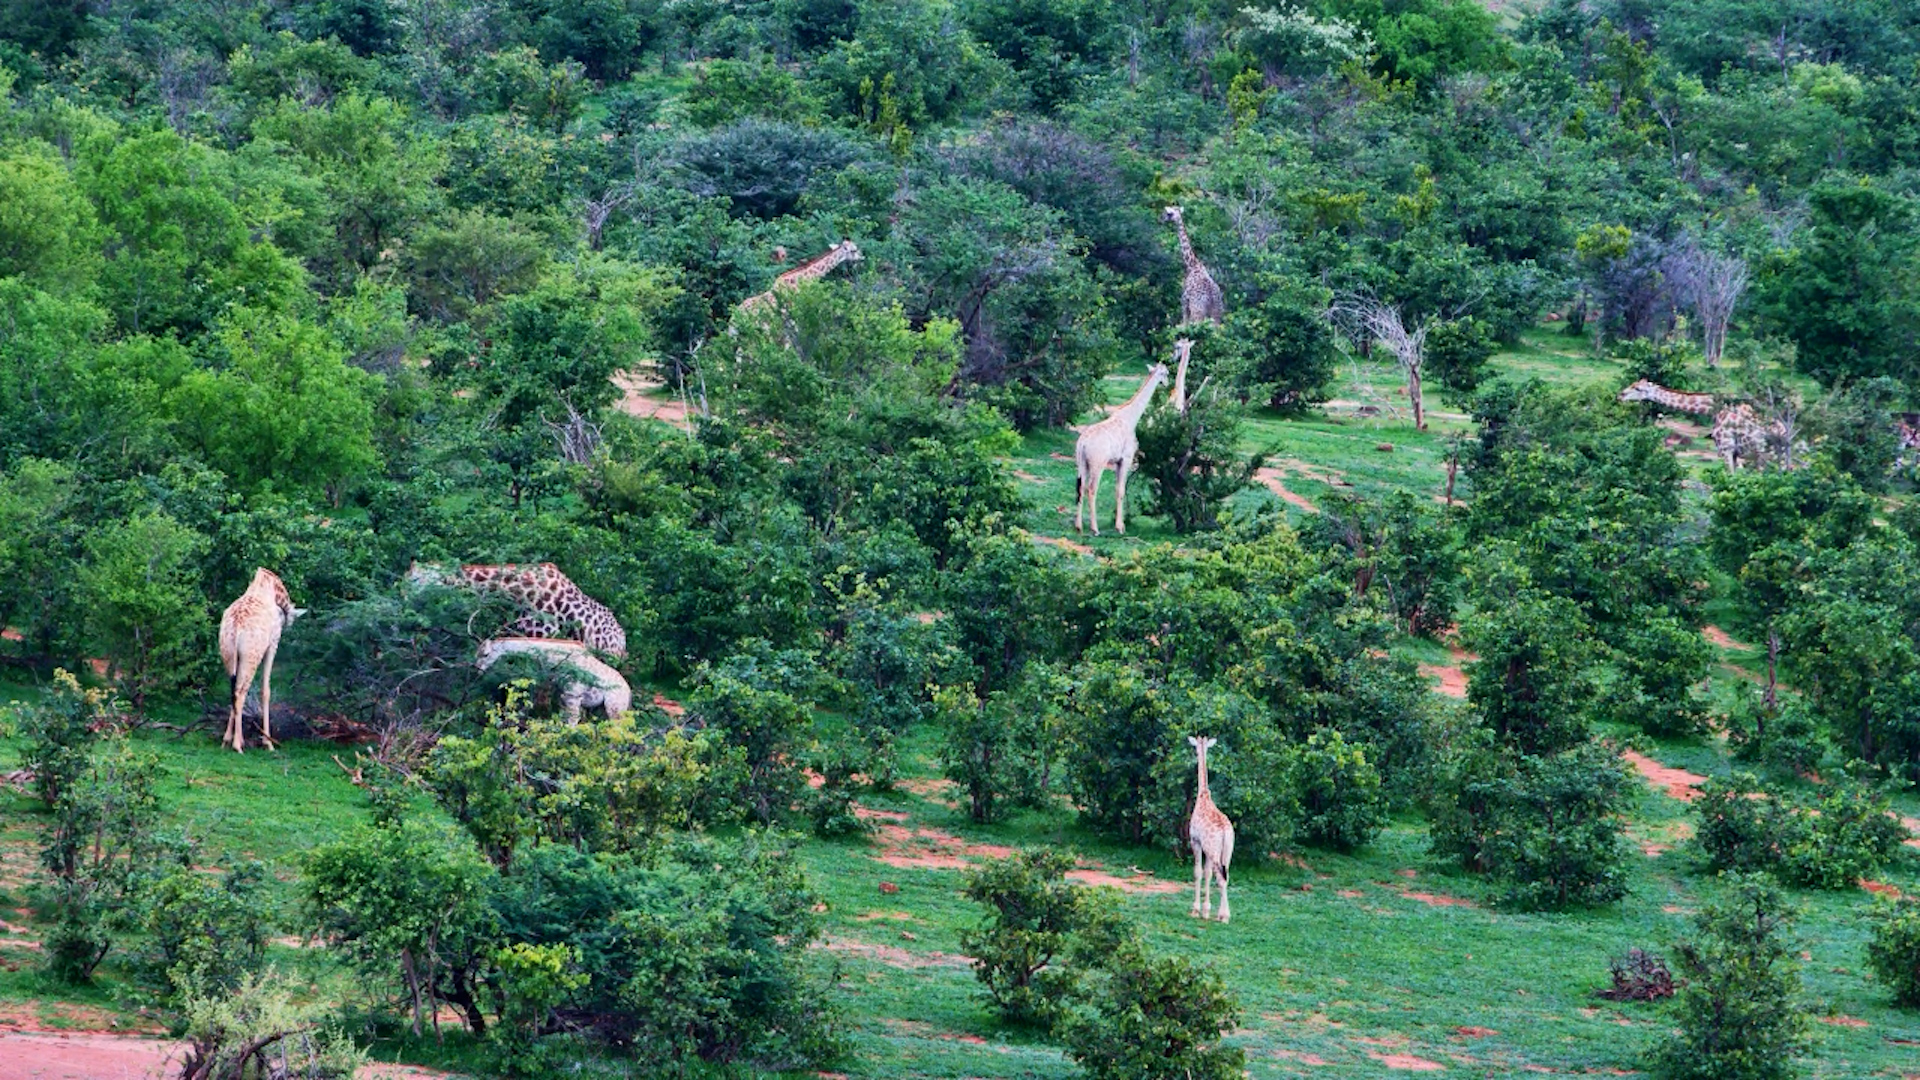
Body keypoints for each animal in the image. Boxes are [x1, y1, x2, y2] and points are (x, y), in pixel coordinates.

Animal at [218, 568, 305, 753]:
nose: (288, 624)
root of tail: (235, 628)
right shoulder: (272, 645)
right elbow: (266, 690)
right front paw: (268, 743)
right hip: (251, 655)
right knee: (240, 692)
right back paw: (238, 745)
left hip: (228, 654)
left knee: (234, 691)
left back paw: (227, 740)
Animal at [477, 637, 632, 721]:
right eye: (477, 653)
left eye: (486, 654)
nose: (477, 669)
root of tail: (629, 692)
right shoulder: (562, 695)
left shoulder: (573, 695)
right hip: (605, 709)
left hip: (614, 707)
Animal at [1074, 362, 1170, 535]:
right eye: (1165, 373)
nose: (1166, 384)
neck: (1131, 418)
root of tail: (1082, 443)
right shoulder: (1126, 459)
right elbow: (1121, 490)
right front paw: (1120, 527)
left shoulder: (1117, 461)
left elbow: (1116, 489)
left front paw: (1120, 525)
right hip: (1097, 464)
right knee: (1091, 489)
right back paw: (1095, 529)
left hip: (1082, 463)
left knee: (1081, 488)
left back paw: (1078, 527)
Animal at [1186, 735, 1235, 924]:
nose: (1195, 752)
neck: (1203, 795)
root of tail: (1226, 832)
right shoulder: (1206, 847)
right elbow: (1207, 874)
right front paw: (1206, 910)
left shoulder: (1195, 841)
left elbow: (1198, 872)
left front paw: (1196, 910)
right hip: (1227, 852)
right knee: (1225, 876)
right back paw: (1222, 914)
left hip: (1214, 851)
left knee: (1221, 877)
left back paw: (1224, 916)